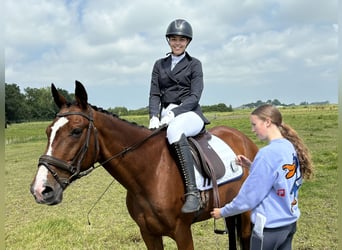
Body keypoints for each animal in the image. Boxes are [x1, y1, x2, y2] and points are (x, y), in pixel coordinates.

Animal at [30, 81, 260, 249]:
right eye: (48, 131)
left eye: (76, 131)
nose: (41, 189)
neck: (151, 173)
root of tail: (245, 140)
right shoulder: (148, 234)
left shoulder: (182, 233)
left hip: (246, 214)